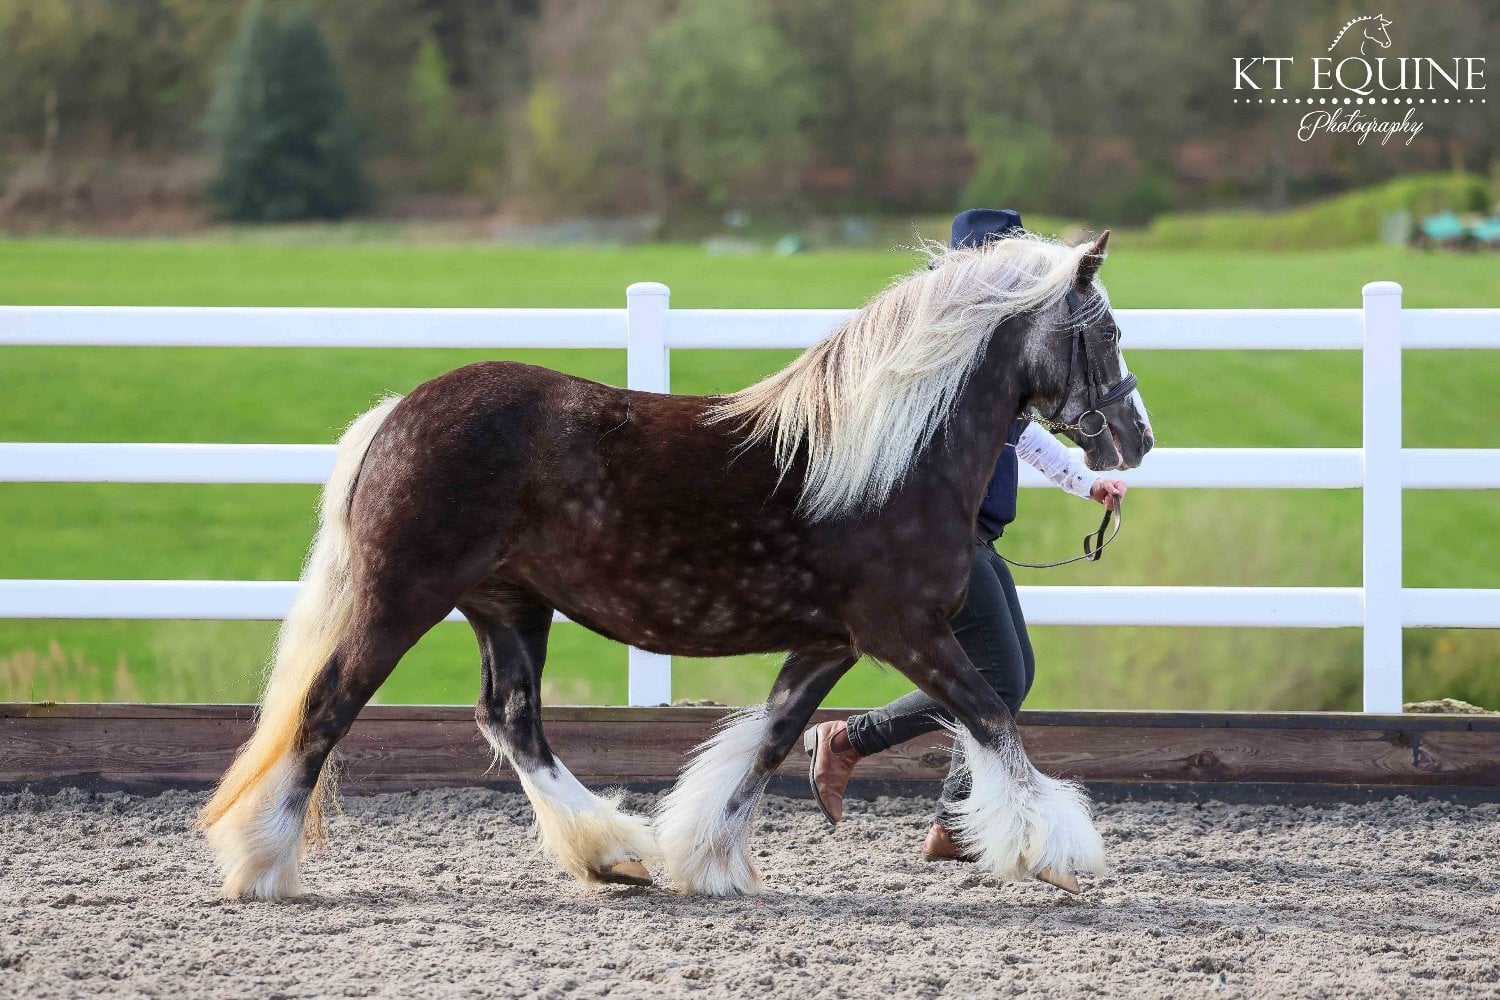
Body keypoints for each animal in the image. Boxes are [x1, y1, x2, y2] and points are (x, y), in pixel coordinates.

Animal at [198, 229, 1153, 900]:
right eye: (1103, 330)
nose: (1134, 440)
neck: (891, 456)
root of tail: (396, 415)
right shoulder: (908, 632)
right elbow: (991, 716)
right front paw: (1058, 856)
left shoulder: (830, 643)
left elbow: (766, 744)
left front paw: (705, 860)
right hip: (403, 597)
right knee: (326, 706)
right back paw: (261, 865)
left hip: (509, 606)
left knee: (512, 721)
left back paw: (615, 855)